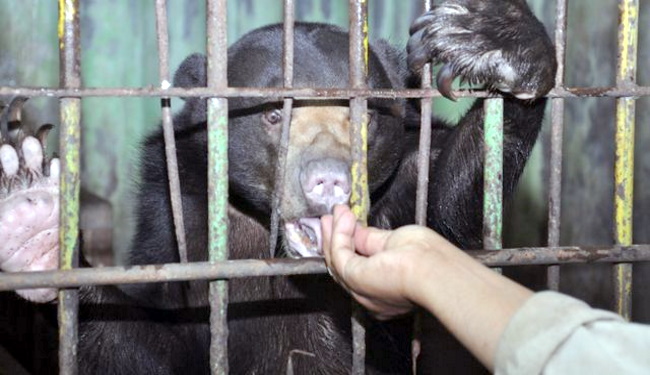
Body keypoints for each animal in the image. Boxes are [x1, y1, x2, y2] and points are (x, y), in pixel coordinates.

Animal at [0, 1, 552, 374]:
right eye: (272, 116)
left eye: (364, 117)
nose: (329, 179)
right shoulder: (175, 210)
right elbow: (129, 341)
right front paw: (35, 229)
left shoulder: (413, 173)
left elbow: (451, 205)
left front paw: (498, 41)